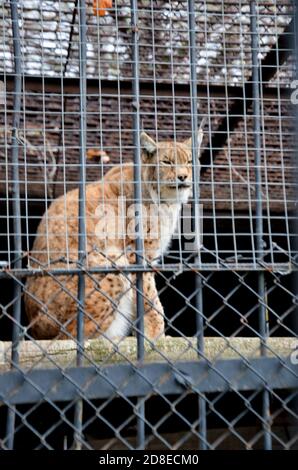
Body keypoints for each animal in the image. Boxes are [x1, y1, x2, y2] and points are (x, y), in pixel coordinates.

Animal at [24, 129, 204, 342]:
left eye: (190, 161)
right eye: (166, 162)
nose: (183, 176)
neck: (164, 199)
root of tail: (35, 329)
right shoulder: (138, 253)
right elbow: (150, 297)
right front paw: (155, 334)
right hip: (111, 260)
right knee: (71, 337)